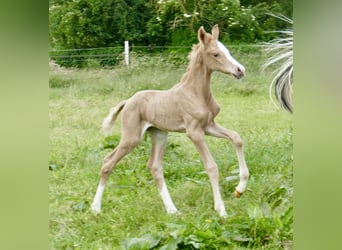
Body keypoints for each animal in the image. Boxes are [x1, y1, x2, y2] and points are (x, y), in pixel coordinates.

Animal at [92, 24, 250, 218]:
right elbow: (211, 166)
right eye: (215, 54)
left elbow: (236, 137)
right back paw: (95, 208)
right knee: (108, 162)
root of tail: (128, 101)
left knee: (154, 167)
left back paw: (172, 209)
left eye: (226, 50)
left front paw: (239, 189)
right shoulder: (194, 132)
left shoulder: (209, 126)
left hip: (159, 134)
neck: (196, 93)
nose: (240, 70)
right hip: (132, 137)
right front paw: (221, 210)